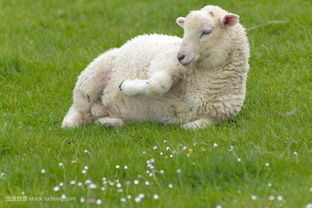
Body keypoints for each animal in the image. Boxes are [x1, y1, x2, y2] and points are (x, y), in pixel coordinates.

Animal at [62, 4, 250, 129]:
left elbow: (192, 127)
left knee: (94, 115)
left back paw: (108, 121)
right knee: (78, 108)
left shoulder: (215, 116)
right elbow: (157, 85)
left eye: (207, 32)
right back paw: (71, 123)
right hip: (91, 76)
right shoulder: (166, 60)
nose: (180, 56)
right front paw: (126, 86)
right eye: (184, 31)